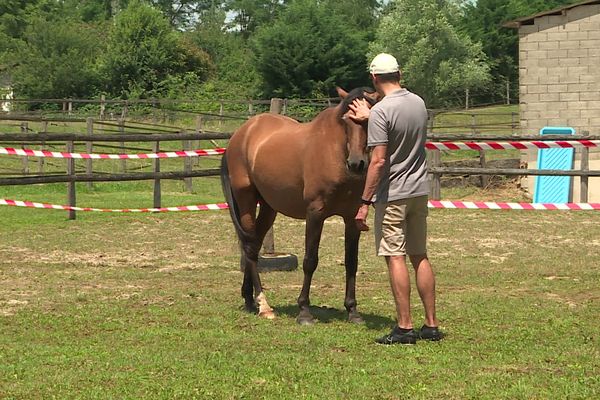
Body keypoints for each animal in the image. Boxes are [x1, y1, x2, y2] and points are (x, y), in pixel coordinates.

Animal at [220, 87, 378, 324]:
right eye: (345, 120)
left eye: (368, 119)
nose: (356, 164)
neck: (336, 153)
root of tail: (241, 133)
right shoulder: (315, 213)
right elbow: (310, 260)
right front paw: (304, 311)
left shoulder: (352, 218)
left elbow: (352, 262)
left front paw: (352, 311)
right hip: (245, 200)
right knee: (248, 247)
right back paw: (263, 305)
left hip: (268, 207)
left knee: (254, 247)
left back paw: (249, 299)